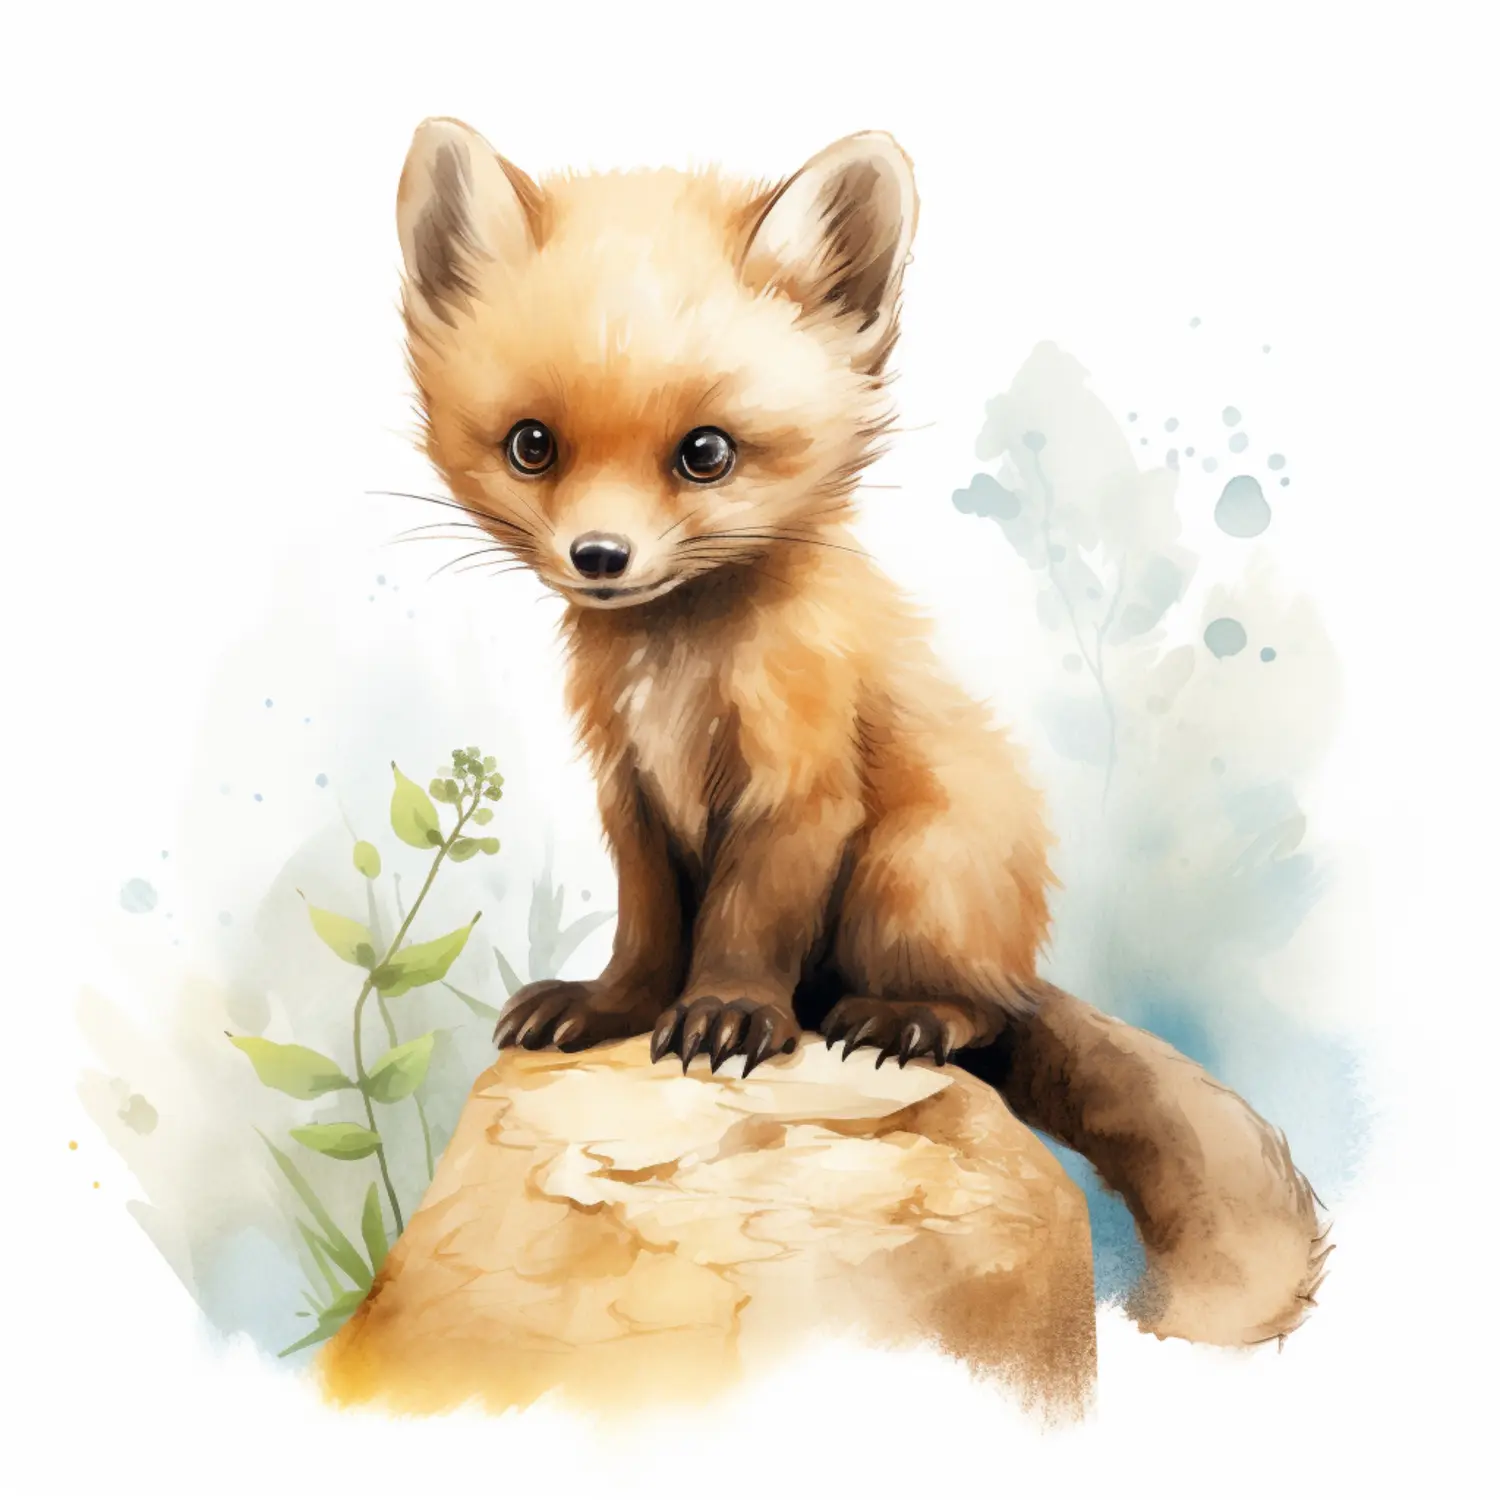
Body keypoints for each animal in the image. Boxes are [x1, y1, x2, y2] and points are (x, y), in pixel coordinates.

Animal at [393, 119, 1330, 1346]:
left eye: (706, 453)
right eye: (532, 445)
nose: (599, 557)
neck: (678, 680)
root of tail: (1016, 953)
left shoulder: (802, 786)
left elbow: (744, 919)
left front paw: (728, 1016)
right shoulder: (630, 791)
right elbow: (648, 930)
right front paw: (607, 1009)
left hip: (914, 867)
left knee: (977, 1017)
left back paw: (898, 1018)